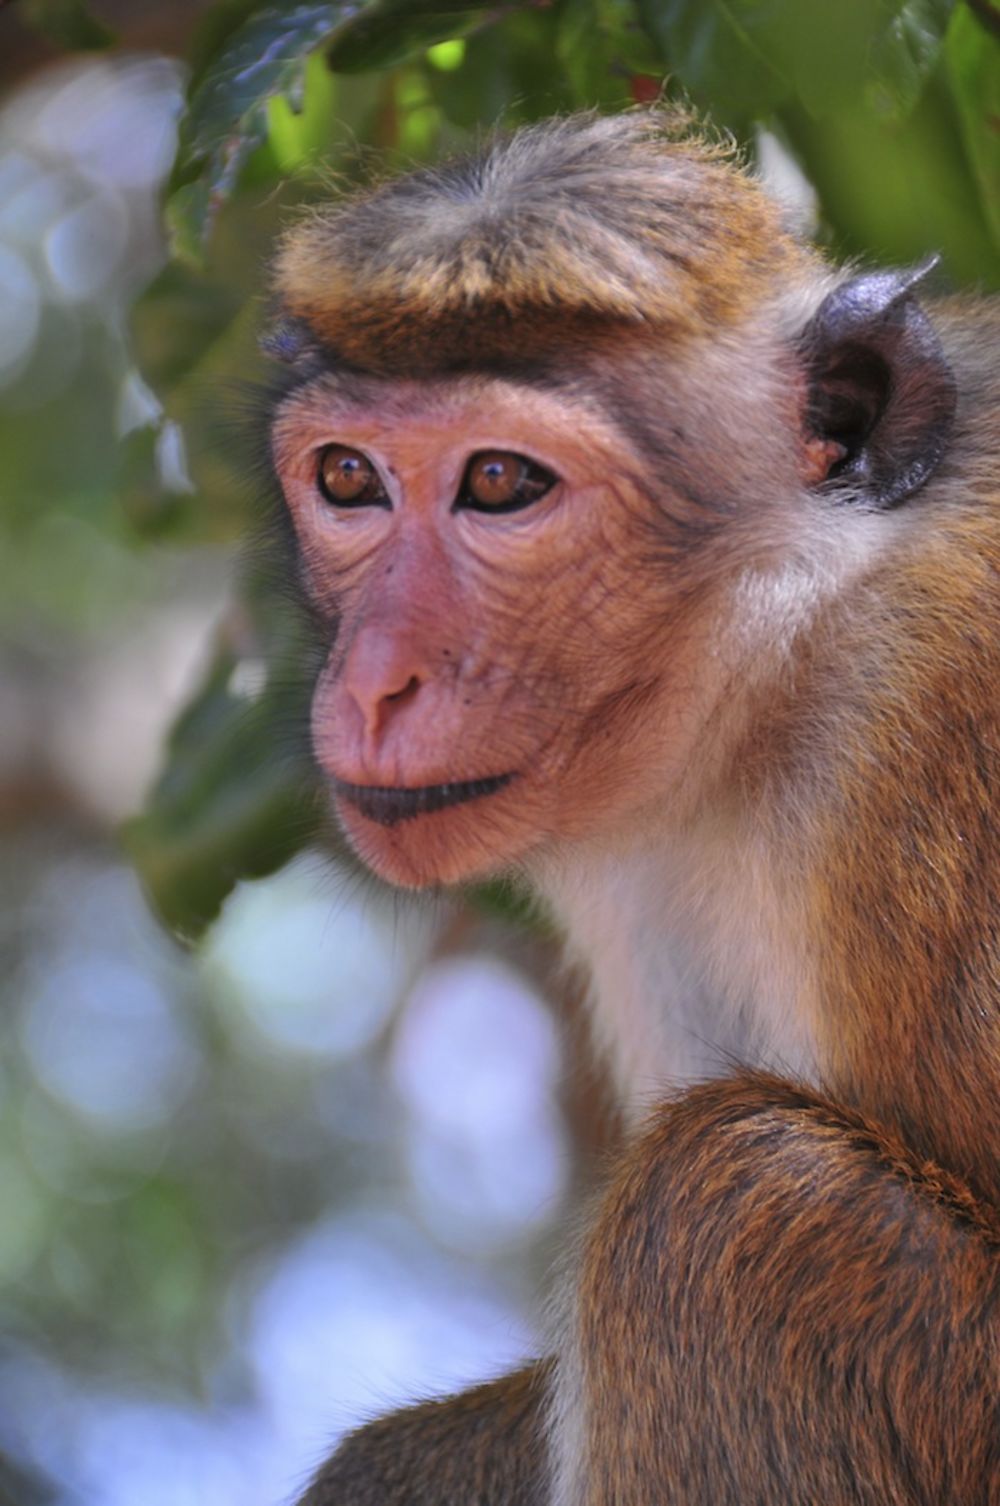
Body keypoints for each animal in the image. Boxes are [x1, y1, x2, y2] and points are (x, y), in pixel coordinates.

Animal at [263, 111, 1000, 1499]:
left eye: (502, 484)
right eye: (348, 478)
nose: (376, 680)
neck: (784, 646)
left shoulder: (922, 743)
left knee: (712, 1203)